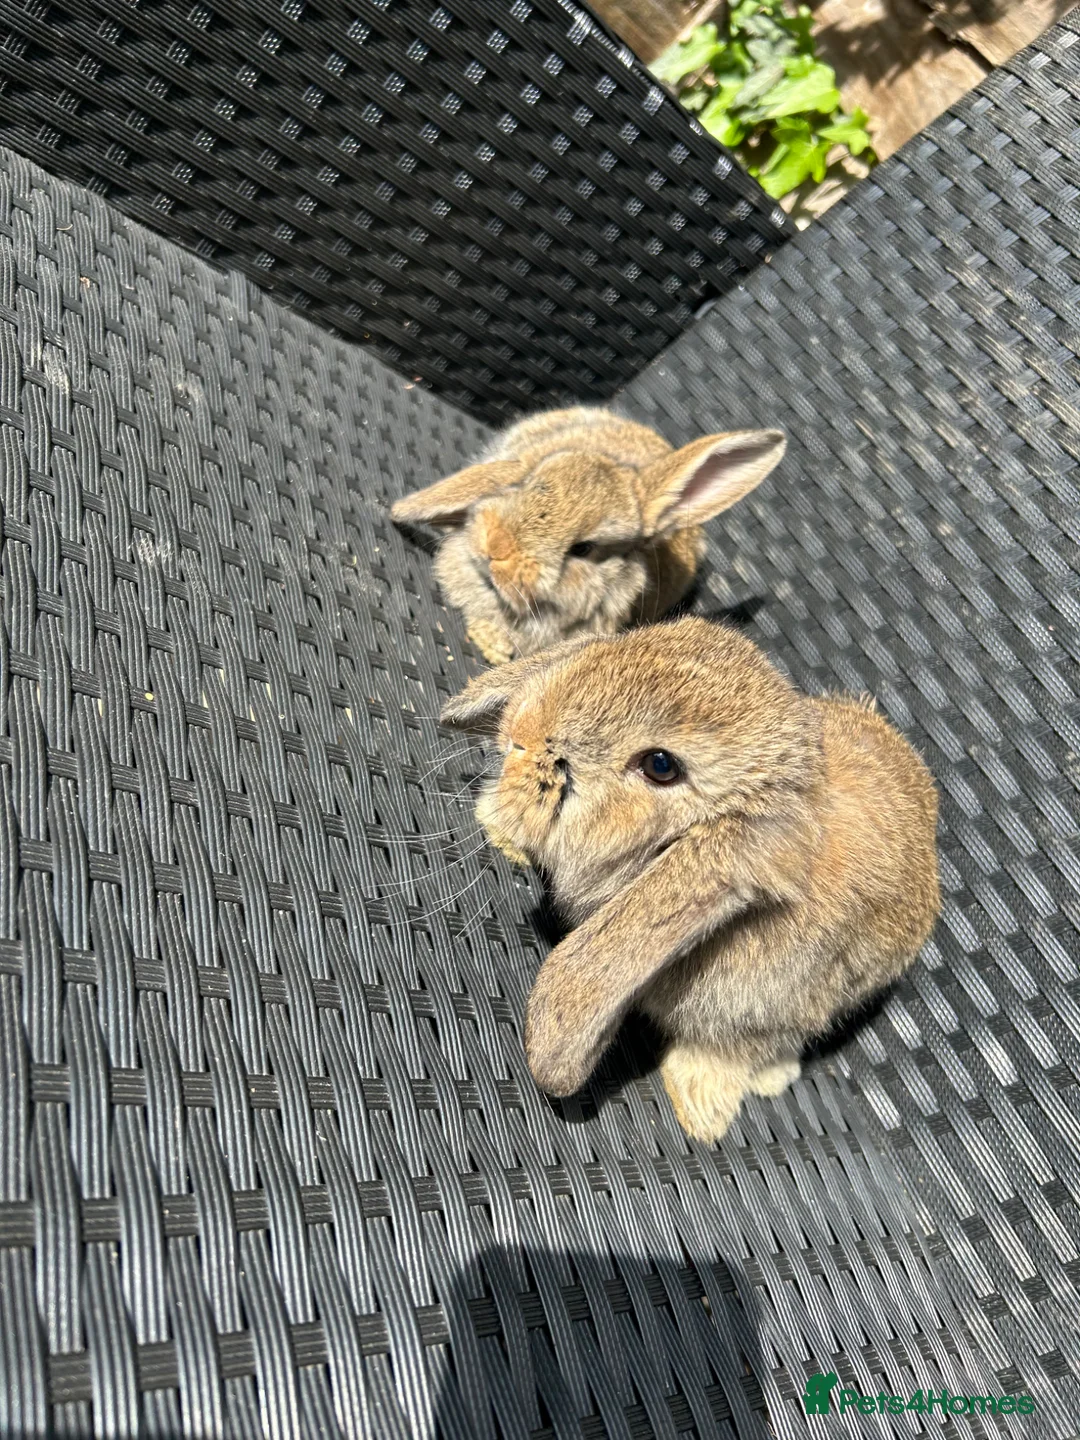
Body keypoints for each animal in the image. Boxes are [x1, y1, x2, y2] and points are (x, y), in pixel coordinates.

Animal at [440, 616, 940, 1144]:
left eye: (660, 765)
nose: (521, 731)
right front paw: (494, 821)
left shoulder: (763, 1018)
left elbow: (725, 1055)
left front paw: (701, 1116)